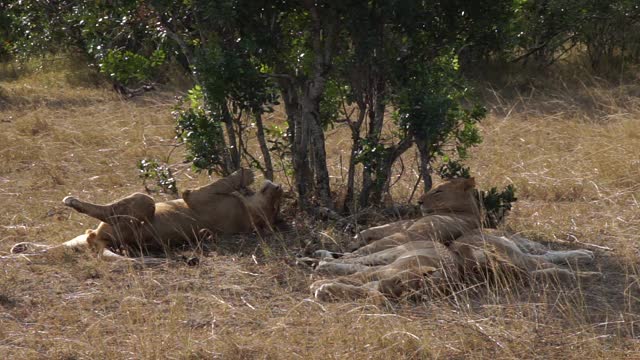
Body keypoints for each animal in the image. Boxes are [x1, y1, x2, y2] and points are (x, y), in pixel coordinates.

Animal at [9, 167, 284, 262]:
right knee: (53, 248)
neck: (248, 214)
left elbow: (220, 182)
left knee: (104, 210)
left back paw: (72, 201)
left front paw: (245, 174)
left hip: (143, 203)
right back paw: (20, 248)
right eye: (277, 206)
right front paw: (247, 176)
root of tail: (105, 241)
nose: (279, 187)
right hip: (79, 240)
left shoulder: (194, 195)